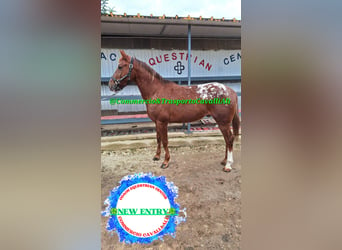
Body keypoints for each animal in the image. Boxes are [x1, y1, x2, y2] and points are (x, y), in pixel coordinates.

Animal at [108, 50, 239, 172]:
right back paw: (224, 160)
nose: (110, 85)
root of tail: (230, 91)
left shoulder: (162, 122)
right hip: (222, 123)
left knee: (229, 139)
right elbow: (158, 138)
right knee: (227, 140)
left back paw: (228, 165)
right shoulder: (156, 122)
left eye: (120, 66)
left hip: (223, 122)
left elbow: (165, 141)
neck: (156, 91)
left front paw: (165, 162)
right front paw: (157, 156)